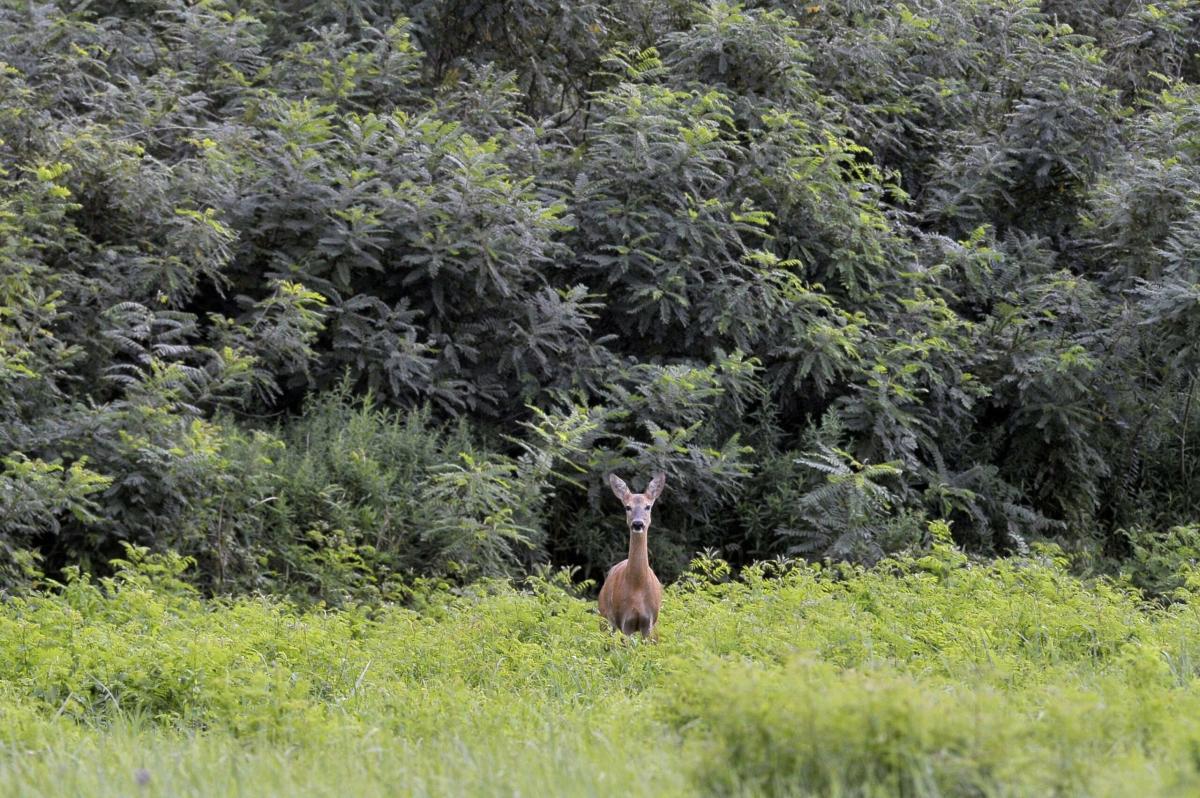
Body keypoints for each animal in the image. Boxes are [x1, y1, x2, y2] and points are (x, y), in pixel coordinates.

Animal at [597, 472, 667, 633]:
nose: (637, 523)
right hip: (605, 618)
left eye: (648, 506)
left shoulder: (649, 623)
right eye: (627, 507)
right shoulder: (624, 621)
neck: (637, 588)